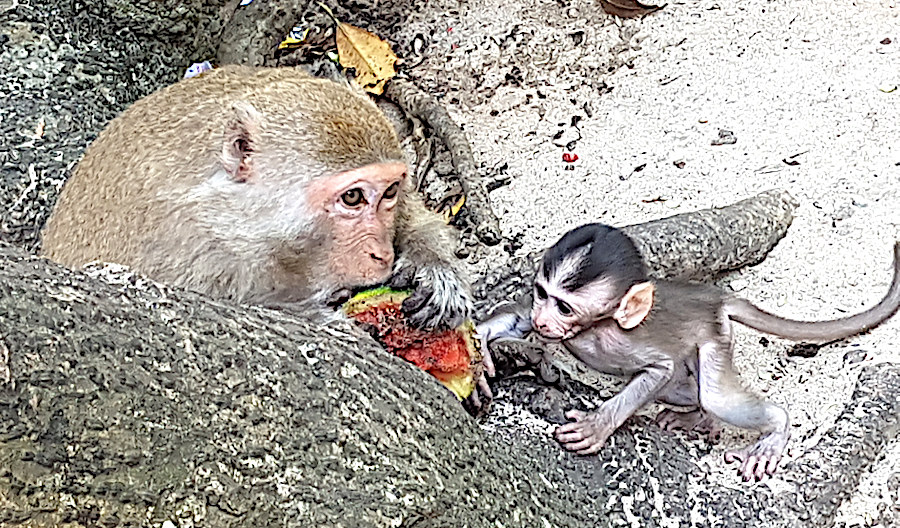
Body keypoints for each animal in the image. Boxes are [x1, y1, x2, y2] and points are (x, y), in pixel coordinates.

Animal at [478, 225, 900, 480]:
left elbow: (658, 370)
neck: (593, 328)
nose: (544, 318)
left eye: (564, 307)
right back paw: (697, 418)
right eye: (541, 294)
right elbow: (516, 318)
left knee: (713, 396)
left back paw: (772, 427)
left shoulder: (622, 341)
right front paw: (476, 347)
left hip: (715, 339)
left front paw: (597, 425)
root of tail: (715, 297)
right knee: (691, 392)